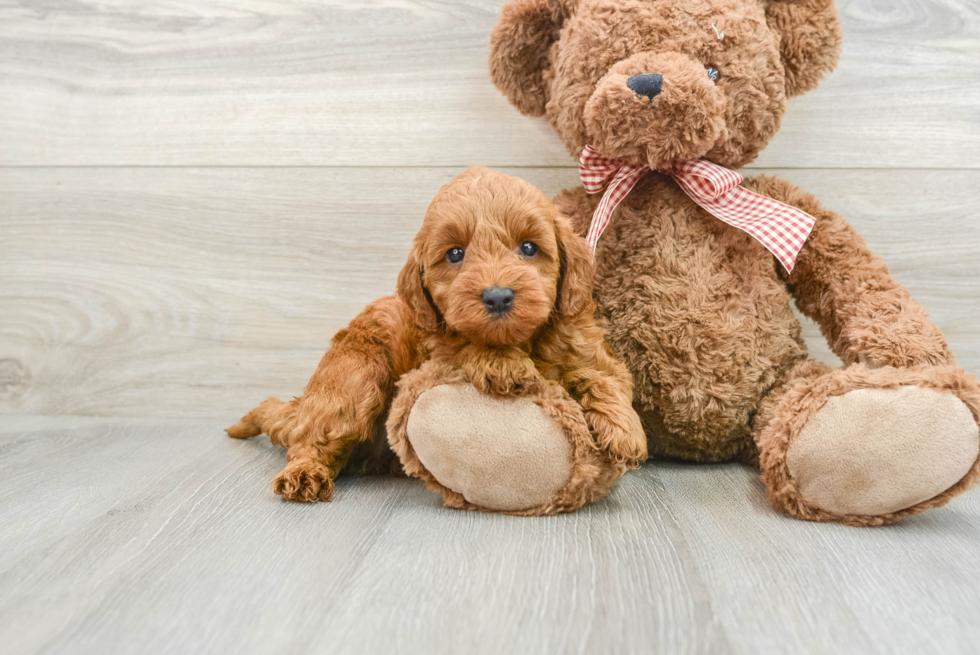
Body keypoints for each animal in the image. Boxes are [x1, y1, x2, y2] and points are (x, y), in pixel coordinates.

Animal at [226, 165, 648, 502]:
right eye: (455, 254)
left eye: (529, 247)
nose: (497, 296)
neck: (520, 340)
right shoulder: (434, 344)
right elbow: (464, 346)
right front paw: (502, 364)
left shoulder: (587, 346)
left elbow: (604, 378)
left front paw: (625, 430)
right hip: (354, 374)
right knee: (316, 435)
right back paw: (304, 473)